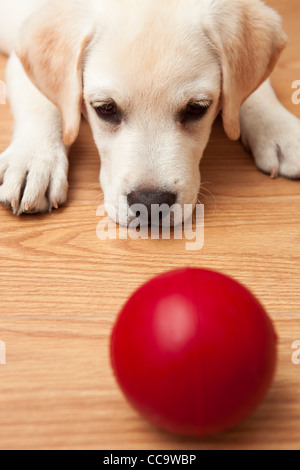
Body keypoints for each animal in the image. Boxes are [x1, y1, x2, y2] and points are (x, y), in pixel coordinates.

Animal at [0, 0, 298, 226]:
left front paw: (281, 130)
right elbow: (41, 102)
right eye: (105, 108)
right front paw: (33, 160)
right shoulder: (19, 54)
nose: (150, 203)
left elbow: (255, 92)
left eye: (196, 108)